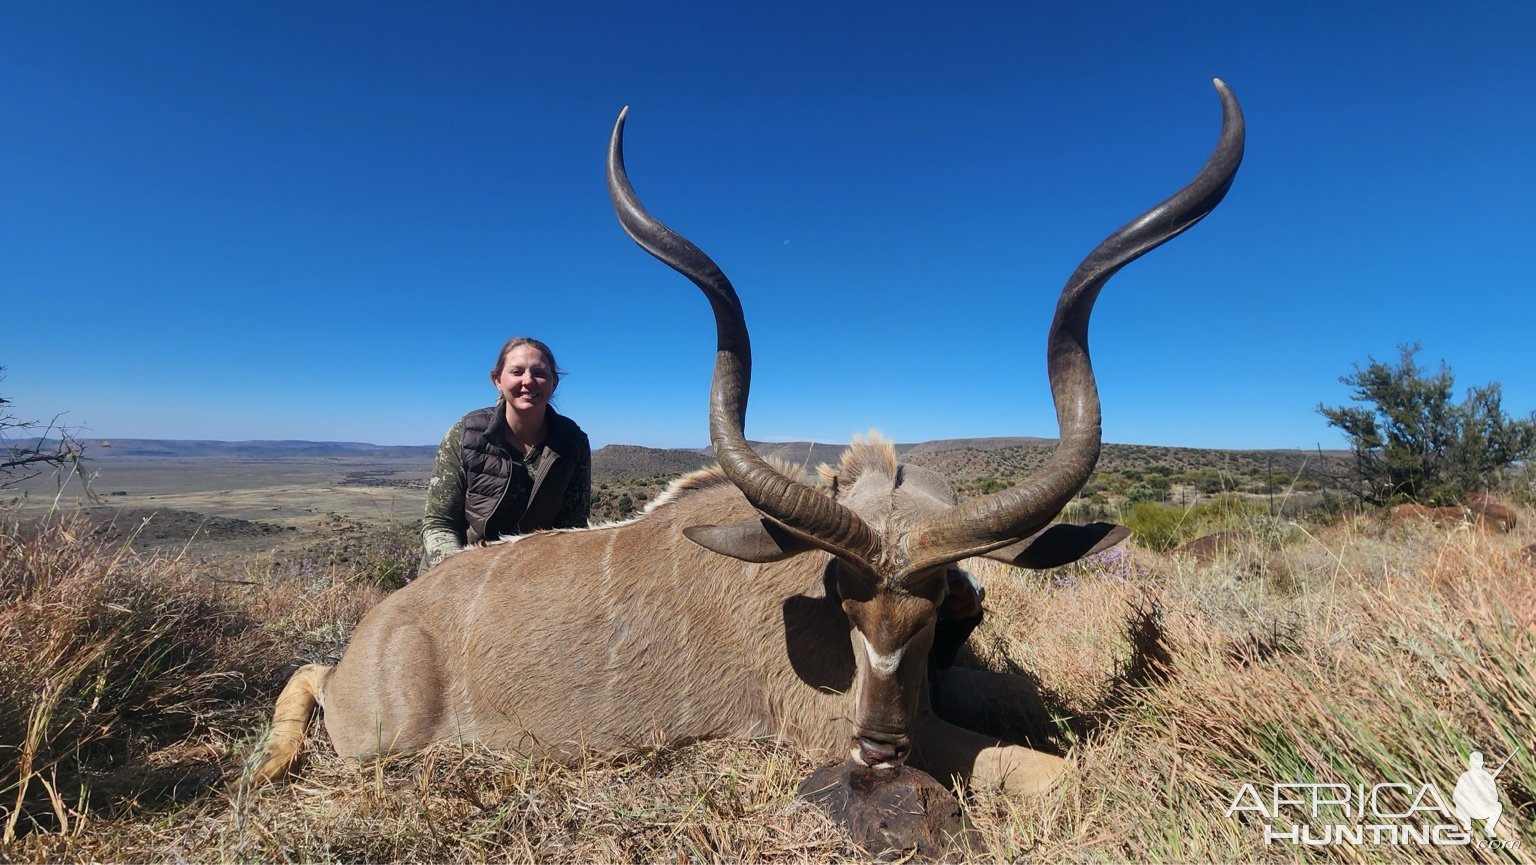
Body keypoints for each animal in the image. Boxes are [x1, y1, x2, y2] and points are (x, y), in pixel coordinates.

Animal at [248, 81, 1234, 792]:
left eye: (932, 615)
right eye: (847, 608)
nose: (878, 751)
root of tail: (382, 625)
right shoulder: (829, 723)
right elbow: (1058, 778)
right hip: (376, 736)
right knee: (314, 677)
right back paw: (271, 758)